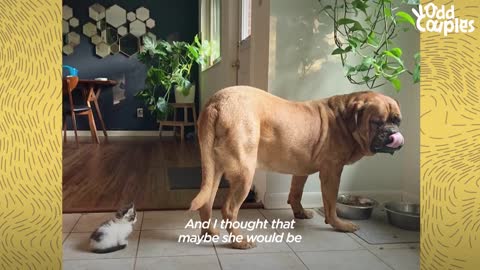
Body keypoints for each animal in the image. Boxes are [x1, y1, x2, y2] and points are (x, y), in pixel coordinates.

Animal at [189, 86, 404, 249]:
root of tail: (216, 104)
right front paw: (339, 224)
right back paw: (239, 241)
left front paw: (300, 213)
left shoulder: (301, 171)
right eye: (376, 122)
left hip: (214, 170)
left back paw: (208, 232)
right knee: (228, 209)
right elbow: (331, 203)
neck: (345, 120)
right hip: (244, 173)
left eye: (397, 120)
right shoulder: (332, 171)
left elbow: (296, 193)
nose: (393, 133)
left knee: (207, 202)